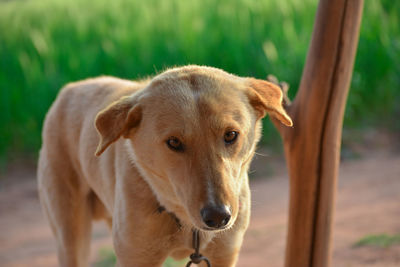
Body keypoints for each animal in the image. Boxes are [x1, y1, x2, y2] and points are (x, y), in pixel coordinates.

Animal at [37, 65, 292, 267]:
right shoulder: (136, 259)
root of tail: (71, 88)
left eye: (230, 135)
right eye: (174, 142)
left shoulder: (223, 256)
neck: (185, 223)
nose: (219, 217)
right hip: (71, 237)